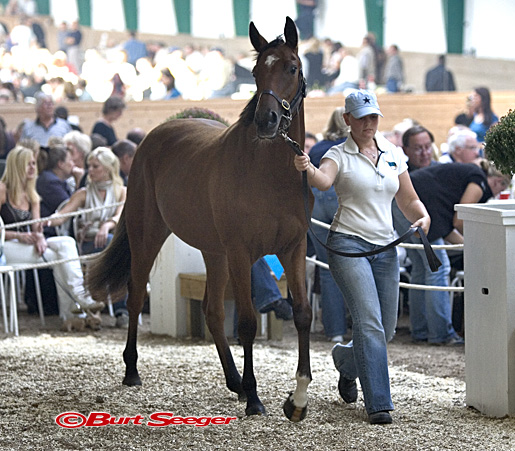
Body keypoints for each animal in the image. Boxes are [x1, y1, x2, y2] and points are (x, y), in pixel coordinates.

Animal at [88, 15, 312, 422]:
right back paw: (132, 371)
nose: (267, 120)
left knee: (212, 312)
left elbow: (302, 313)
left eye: (292, 67)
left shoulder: (293, 248)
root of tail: (154, 136)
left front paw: (298, 400)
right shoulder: (241, 252)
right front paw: (256, 399)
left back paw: (234, 382)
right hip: (150, 235)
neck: (270, 175)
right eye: (256, 71)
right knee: (134, 295)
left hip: (213, 251)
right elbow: (247, 323)